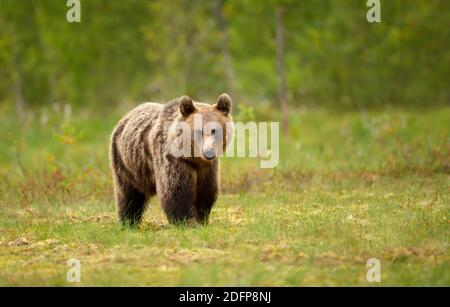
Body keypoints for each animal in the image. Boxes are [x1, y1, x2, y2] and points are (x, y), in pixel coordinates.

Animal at [110, 94, 234, 226]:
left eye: (215, 130)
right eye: (199, 131)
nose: (209, 152)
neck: (194, 159)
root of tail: (126, 116)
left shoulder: (207, 168)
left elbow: (206, 191)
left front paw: (201, 219)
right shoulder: (174, 159)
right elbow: (175, 190)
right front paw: (187, 221)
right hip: (127, 163)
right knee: (129, 194)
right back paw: (129, 221)